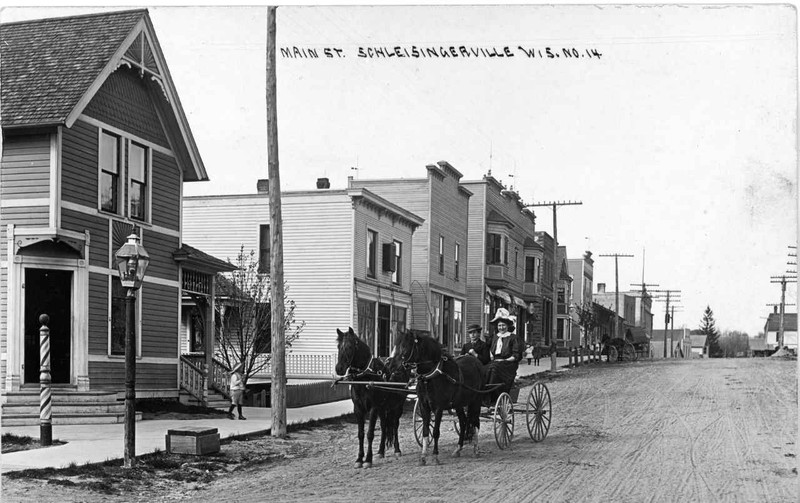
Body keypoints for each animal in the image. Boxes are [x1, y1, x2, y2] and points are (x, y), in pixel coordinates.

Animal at [336, 326, 410, 468]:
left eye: (349, 347)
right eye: (338, 346)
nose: (339, 369)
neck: (365, 377)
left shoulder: (373, 408)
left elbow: (370, 433)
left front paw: (368, 460)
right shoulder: (358, 409)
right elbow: (360, 434)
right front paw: (359, 459)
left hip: (397, 406)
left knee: (395, 425)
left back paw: (397, 449)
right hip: (383, 408)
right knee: (384, 426)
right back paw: (381, 451)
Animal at [396, 328, 484, 466]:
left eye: (407, 346)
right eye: (399, 345)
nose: (398, 366)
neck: (432, 376)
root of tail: (476, 362)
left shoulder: (438, 408)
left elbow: (436, 432)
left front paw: (435, 456)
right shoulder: (424, 406)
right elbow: (426, 431)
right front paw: (423, 457)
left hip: (476, 401)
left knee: (475, 422)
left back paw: (476, 449)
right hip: (459, 404)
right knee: (463, 421)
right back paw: (458, 449)